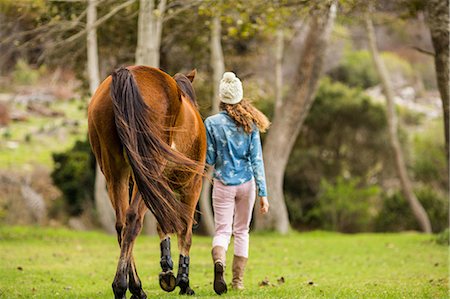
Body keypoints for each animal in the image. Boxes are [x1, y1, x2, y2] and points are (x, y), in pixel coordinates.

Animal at [87, 66, 206, 299]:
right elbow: (185, 231)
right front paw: (183, 280)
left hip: (117, 173)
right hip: (149, 169)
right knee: (133, 220)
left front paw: (167, 269)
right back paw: (122, 285)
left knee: (122, 224)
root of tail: (128, 73)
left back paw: (134, 287)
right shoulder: (192, 185)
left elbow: (163, 223)